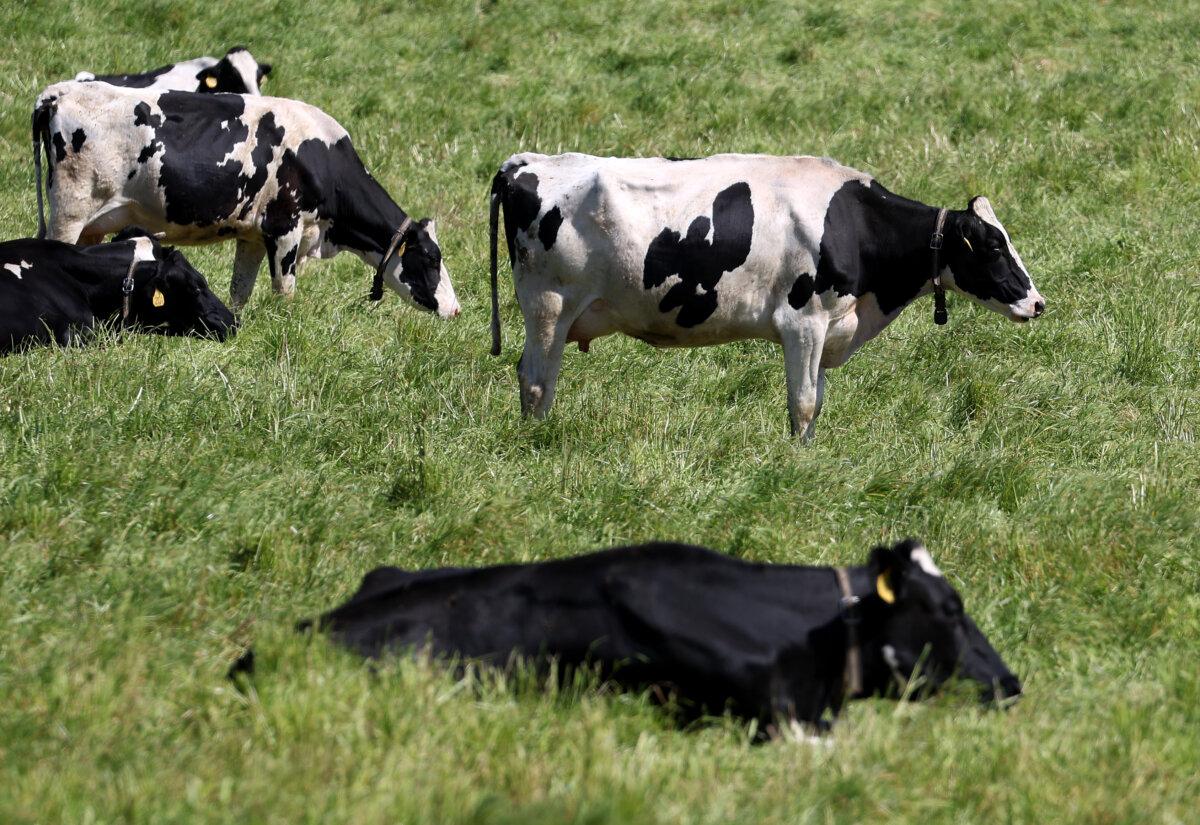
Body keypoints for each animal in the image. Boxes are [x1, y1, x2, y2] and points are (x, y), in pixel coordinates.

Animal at [29, 82, 458, 316]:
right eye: (431, 258)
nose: (455, 309)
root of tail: (60, 91)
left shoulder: (252, 235)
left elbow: (240, 291)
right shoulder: (285, 229)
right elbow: (285, 292)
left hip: (92, 224)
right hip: (69, 212)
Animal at [492, 153, 1046, 438]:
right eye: (994, 246)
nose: (1037, 303)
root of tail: (525, 162)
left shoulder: (828, 328)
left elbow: (817, 401)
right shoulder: (804, 322)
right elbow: (802, 402)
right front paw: (798, 460)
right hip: (548, 306)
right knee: (536, 380)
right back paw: (536, 441)